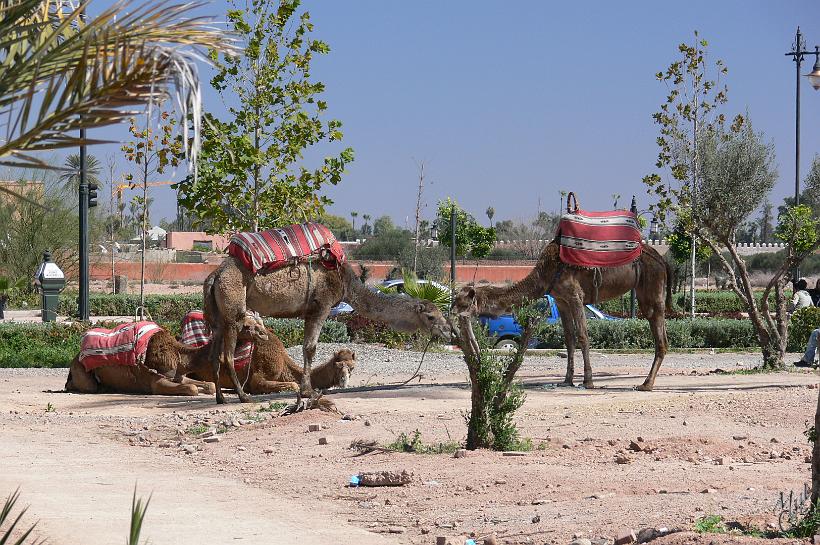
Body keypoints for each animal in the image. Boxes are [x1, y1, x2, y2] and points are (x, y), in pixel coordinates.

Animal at [68, 314, 266, 396]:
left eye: (260, 323)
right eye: (246, 326)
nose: (264, 334)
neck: (179, 356)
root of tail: (75, 357)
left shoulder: (179, 375)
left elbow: (208, 385)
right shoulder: (157, 381)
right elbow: (192, 389)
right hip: (82, 373)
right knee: (88, 386)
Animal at [204, 256, 448, 404]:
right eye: (431, 316)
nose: (447, 330)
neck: (346, 283)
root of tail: (214, 276)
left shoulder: (309, 312)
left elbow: (307, 347)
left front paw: (306, 389)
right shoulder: (322, 306)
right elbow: (310, 348)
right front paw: (308, 391)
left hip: (218, 316)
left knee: (215, 354)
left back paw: (220, 398)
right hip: (233, 312)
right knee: (227, 355)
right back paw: (243, 396)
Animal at [448, 240, 672, 388]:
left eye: (461, 302)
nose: (451, 312)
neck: (546, 273)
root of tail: (663, 261)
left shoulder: (575, 296)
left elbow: (583, 336)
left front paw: (588, 381)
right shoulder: (561, 300)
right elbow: (569, 339)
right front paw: (567, 380)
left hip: (652, 285)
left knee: (657, 325)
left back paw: (646, 384)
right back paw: (647, 382)